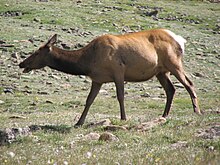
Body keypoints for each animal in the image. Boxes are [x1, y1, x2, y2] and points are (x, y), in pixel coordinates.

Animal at [18, 28, 201, 126]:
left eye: (37, 52)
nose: (21, 63)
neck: (88, 62)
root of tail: (180, 40)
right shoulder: (97, 79)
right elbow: (89, 100)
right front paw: (79, 122)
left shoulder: (118, 70)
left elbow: (120, 96)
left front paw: (123, 118)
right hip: (161, 71)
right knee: (171, 89)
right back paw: (164, 115)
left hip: (174, 63)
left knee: (189, 83)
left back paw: (197, 111)